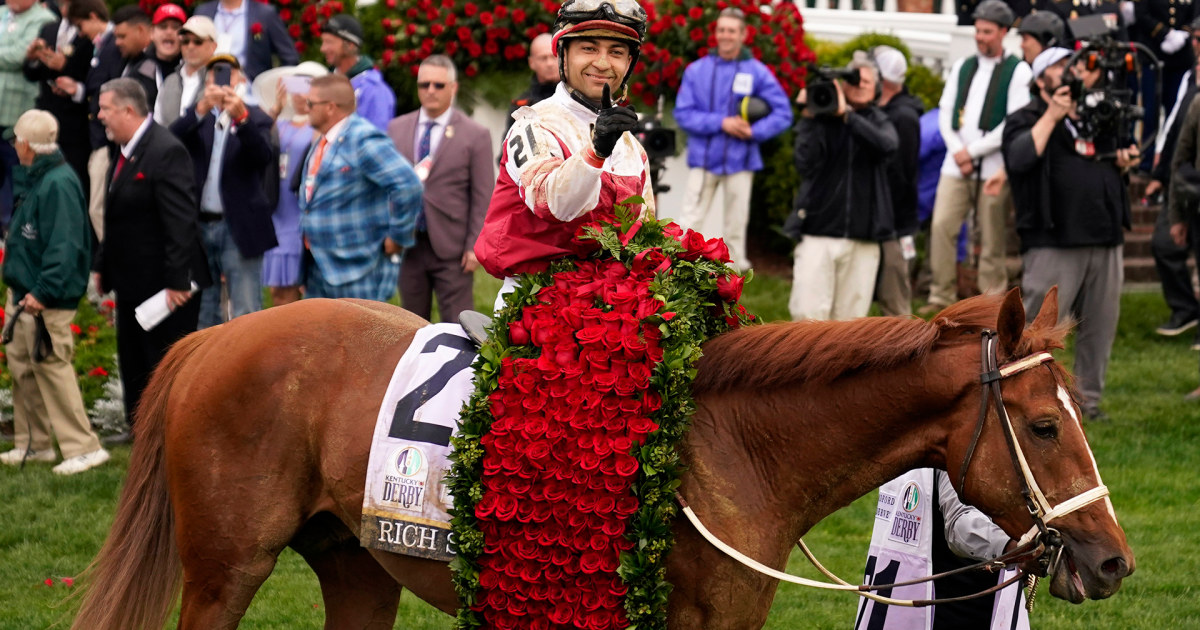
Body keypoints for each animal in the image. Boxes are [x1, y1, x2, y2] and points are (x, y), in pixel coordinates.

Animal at [70, 286, 1128, 624]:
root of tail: (218, 335)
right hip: (224, 571)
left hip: (356, 567)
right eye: (1044, 426)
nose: (1113, 559)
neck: (733, 447)